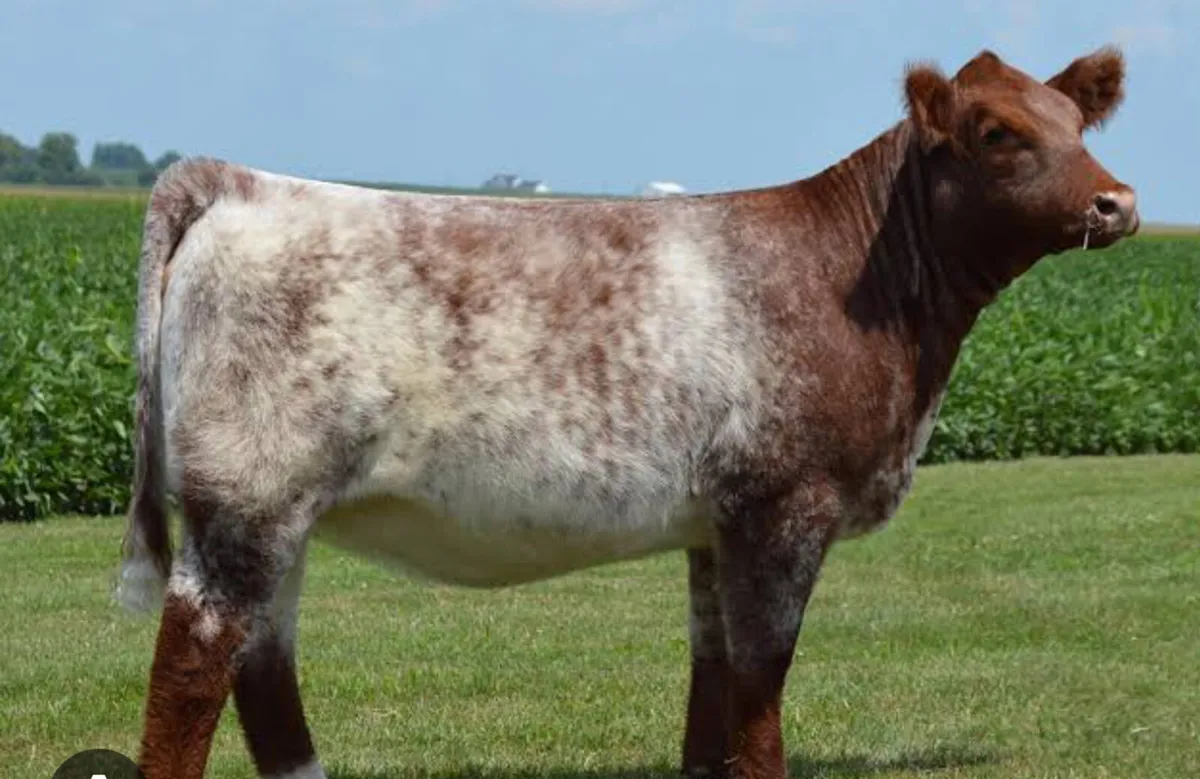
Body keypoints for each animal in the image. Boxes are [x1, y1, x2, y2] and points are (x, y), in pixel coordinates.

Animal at [115, 46, 1138, 779]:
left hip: (278, 517)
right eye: (996, 130)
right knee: (191, 666)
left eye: (1075, 121)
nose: (1117, 200)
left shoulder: (716, 525)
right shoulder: (784, 504)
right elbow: (761, 687)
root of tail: (237, 181)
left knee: (263, 669)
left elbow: (712, 684)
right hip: (246, 501)